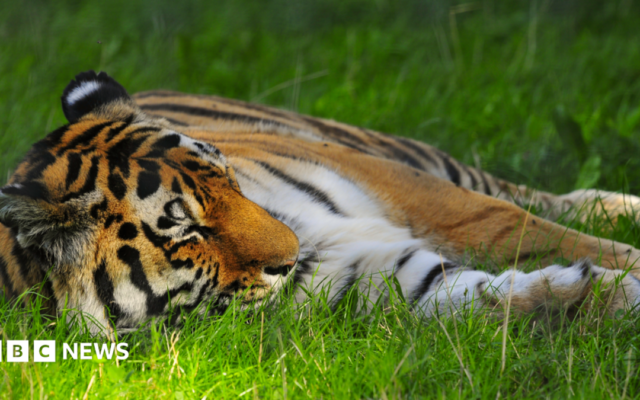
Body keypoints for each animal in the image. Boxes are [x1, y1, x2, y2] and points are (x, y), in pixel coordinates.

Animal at [1, 70, 640, 335]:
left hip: (407, 156)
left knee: (540, 197)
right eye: (185, 230)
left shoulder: (409, 188)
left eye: (229, 182)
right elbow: (488, 295)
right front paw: (601, 295)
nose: (291, 253)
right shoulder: (386, 279)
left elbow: (520, 228)